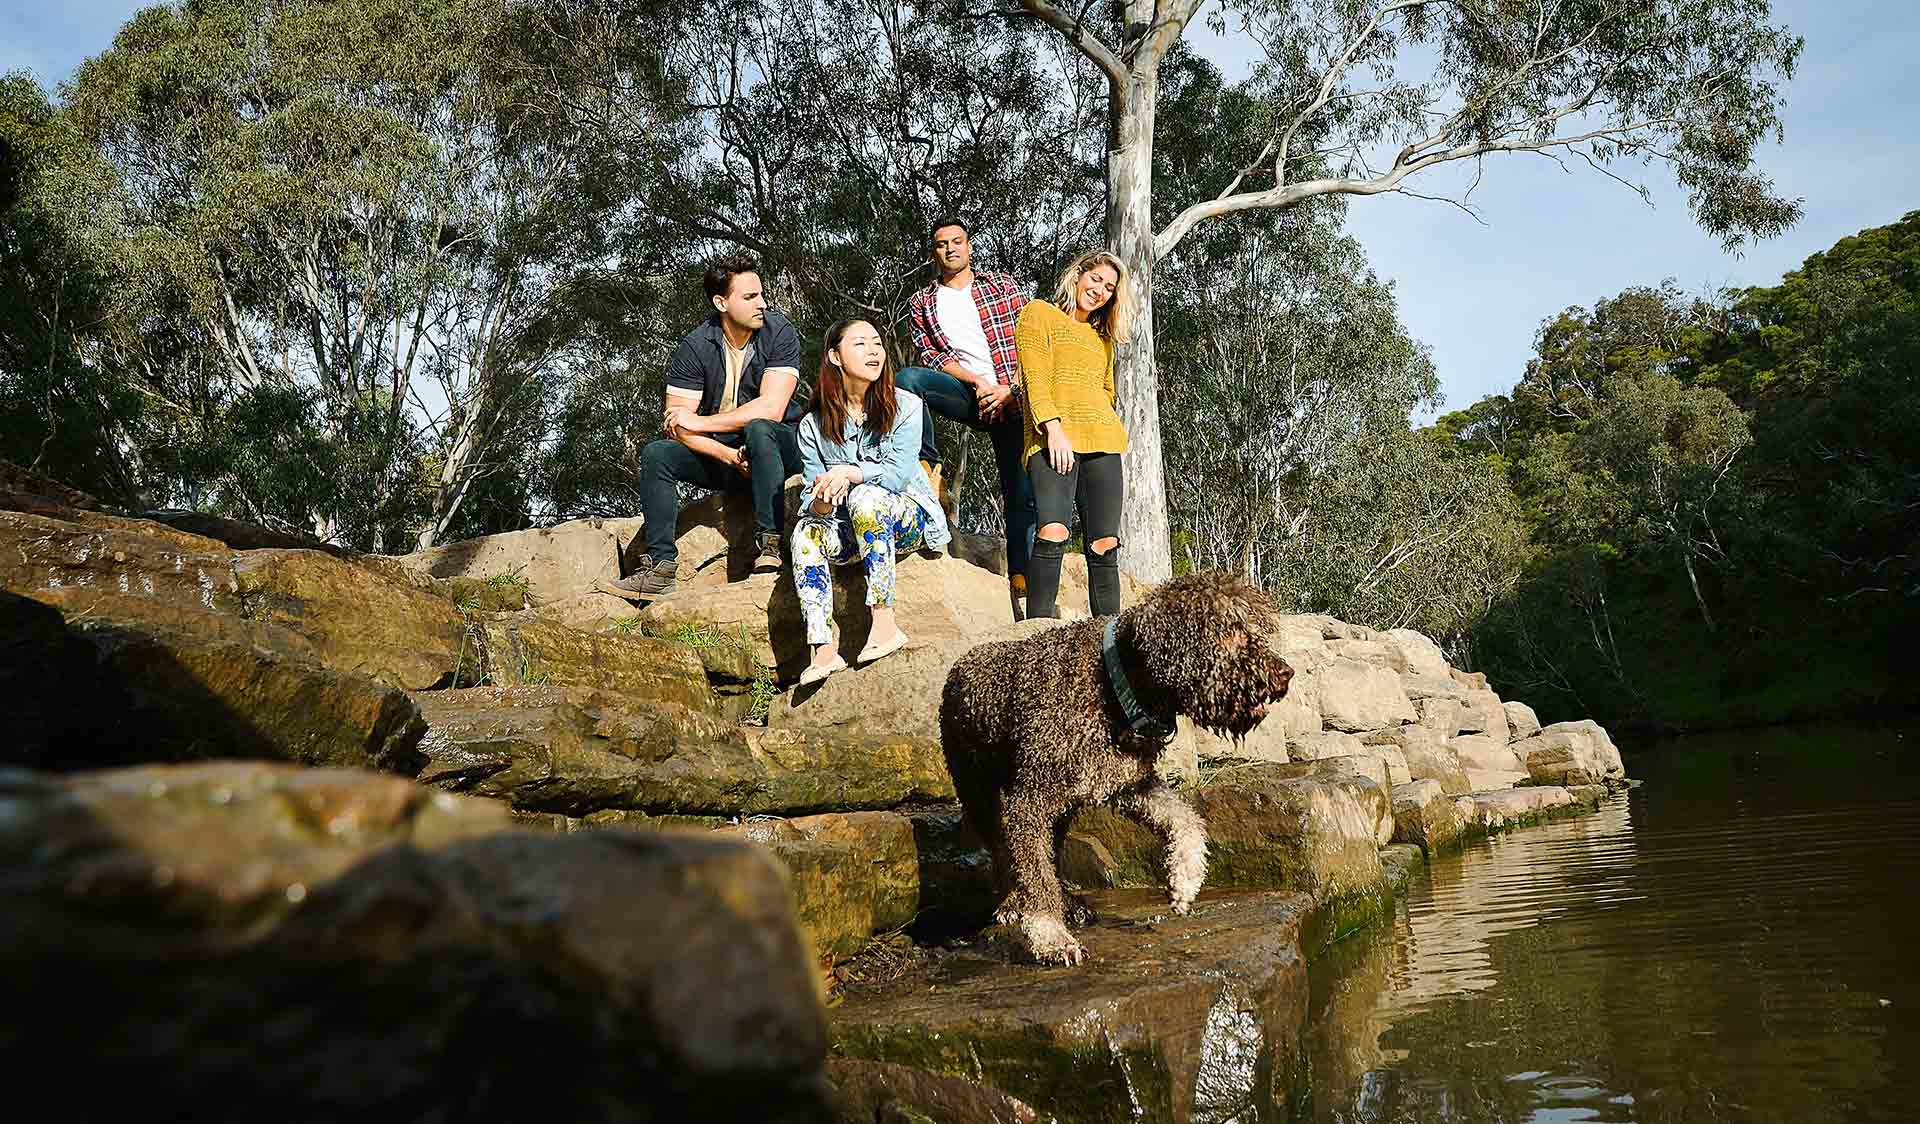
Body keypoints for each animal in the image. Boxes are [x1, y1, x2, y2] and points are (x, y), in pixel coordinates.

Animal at [940, 572, 1297, 960]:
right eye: (1230, 631)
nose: (1286, 673)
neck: (1116, 684)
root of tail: (960, 662)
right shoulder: (1029, 800)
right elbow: (1034, 872)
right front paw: (1051, 935)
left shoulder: (1128, 783)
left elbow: (1186, 818)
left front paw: (1185, 879)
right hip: (980, 791)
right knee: (1004, 852)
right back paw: (1011, 902)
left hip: (1061, 810)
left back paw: (1068, 902)